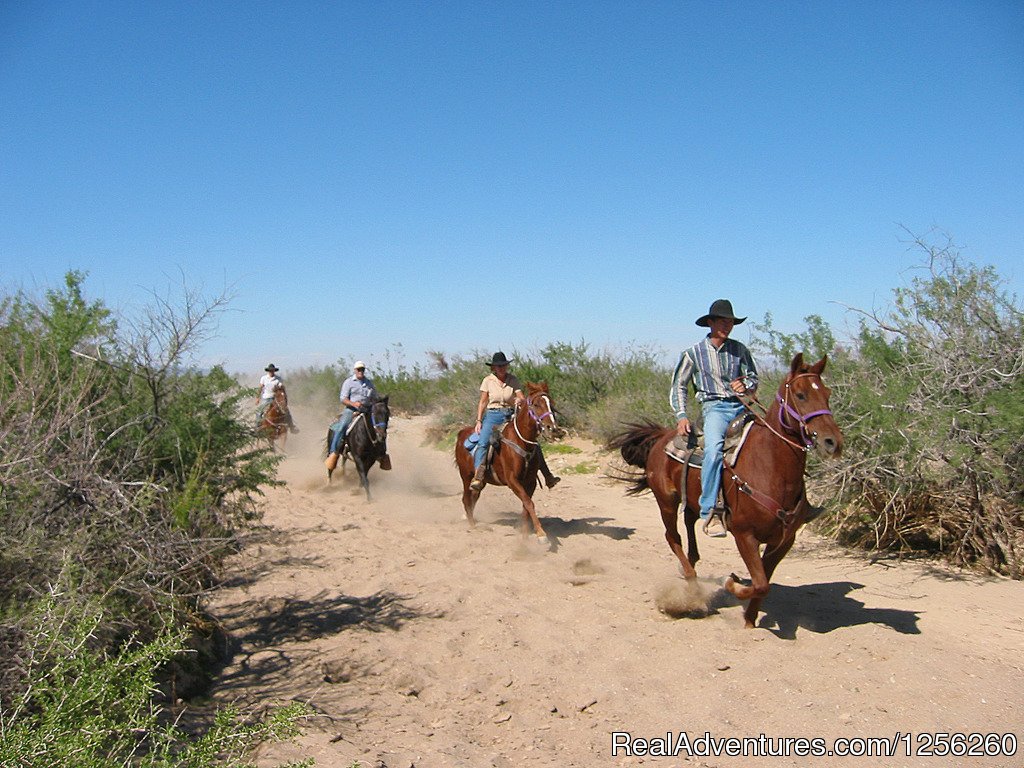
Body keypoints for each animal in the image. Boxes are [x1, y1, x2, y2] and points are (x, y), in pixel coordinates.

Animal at [454, 382, 557, 544]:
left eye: (551, 404)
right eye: (536, 404)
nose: (551, 428)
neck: (521, 442)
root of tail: (461, 434)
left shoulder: (530, 482)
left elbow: (526, 505)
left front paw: (524, 533)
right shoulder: (512, 480)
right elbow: (529, 503)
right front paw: (541, 534)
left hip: (482, 481)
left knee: (474, 497)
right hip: (466, 476)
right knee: (466, 499)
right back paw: (472, 525)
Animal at [610, 358, 843, 626]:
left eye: (827, 394)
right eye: (800, 394)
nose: (832, 442)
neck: (771, 467)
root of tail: (662, 437)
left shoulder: (784, 541)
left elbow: (764, 583)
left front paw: (750, 620)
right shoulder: (744, 535)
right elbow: (760, 583)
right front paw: (730, 583)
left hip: (693, 500)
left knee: (690, 521)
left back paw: (691, 563)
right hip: (666, 502)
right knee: (672, 537)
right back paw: (691, 582)